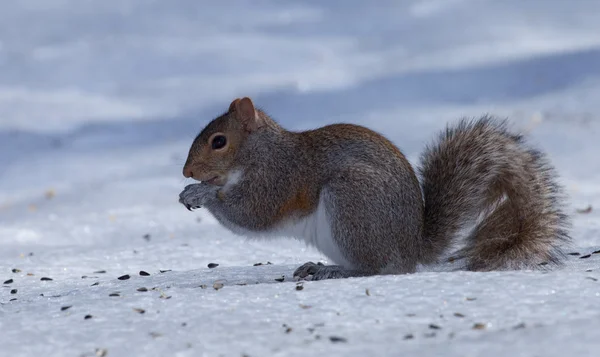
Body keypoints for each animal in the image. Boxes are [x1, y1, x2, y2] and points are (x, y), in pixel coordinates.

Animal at [177, 96, 568, 280]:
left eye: (219, 141)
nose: (186, 171)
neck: (260, 152)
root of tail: (411, 249)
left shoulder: (279, 179)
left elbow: (251, 214)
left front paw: (200, 193)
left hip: (352, 202)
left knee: (378, 268)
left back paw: (333, 271)